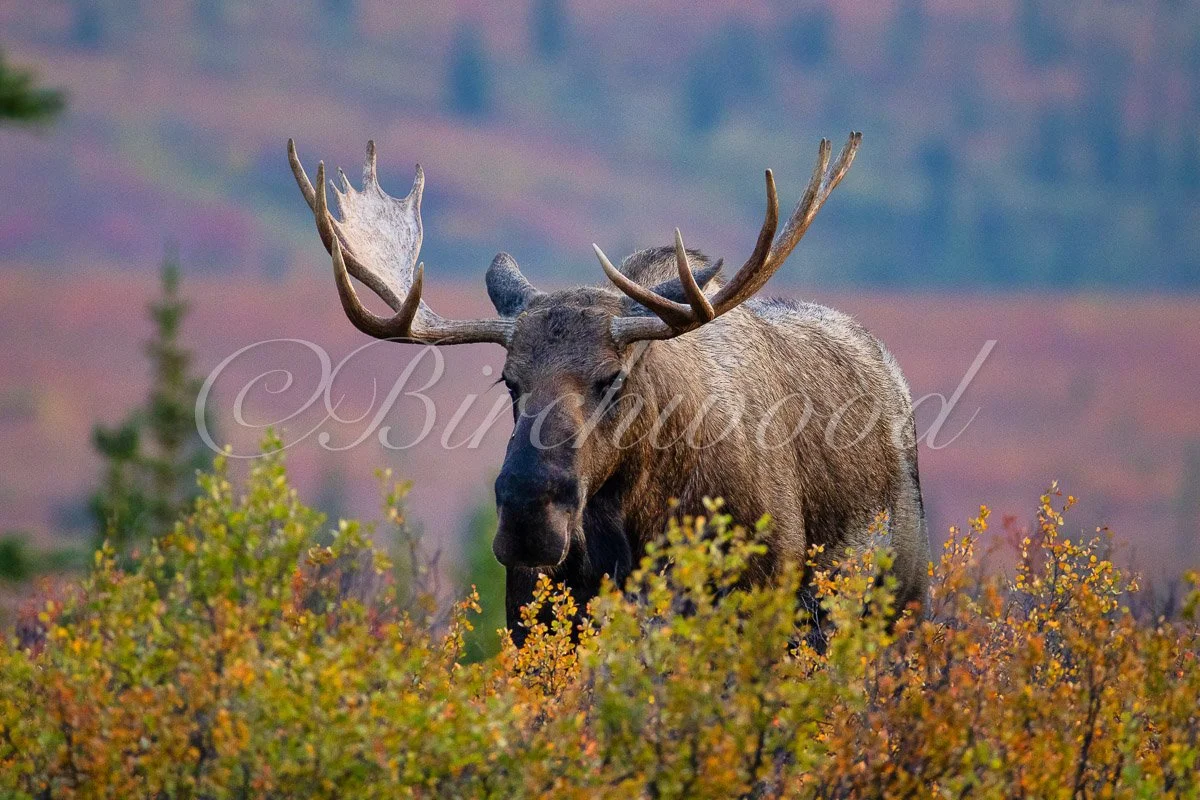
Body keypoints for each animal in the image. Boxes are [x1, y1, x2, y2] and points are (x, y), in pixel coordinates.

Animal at [287, 133, 930, 645]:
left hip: (901, 601)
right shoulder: (532, 621)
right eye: (508, 379)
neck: (631, 529)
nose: (528, 517)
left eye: (611, 377)